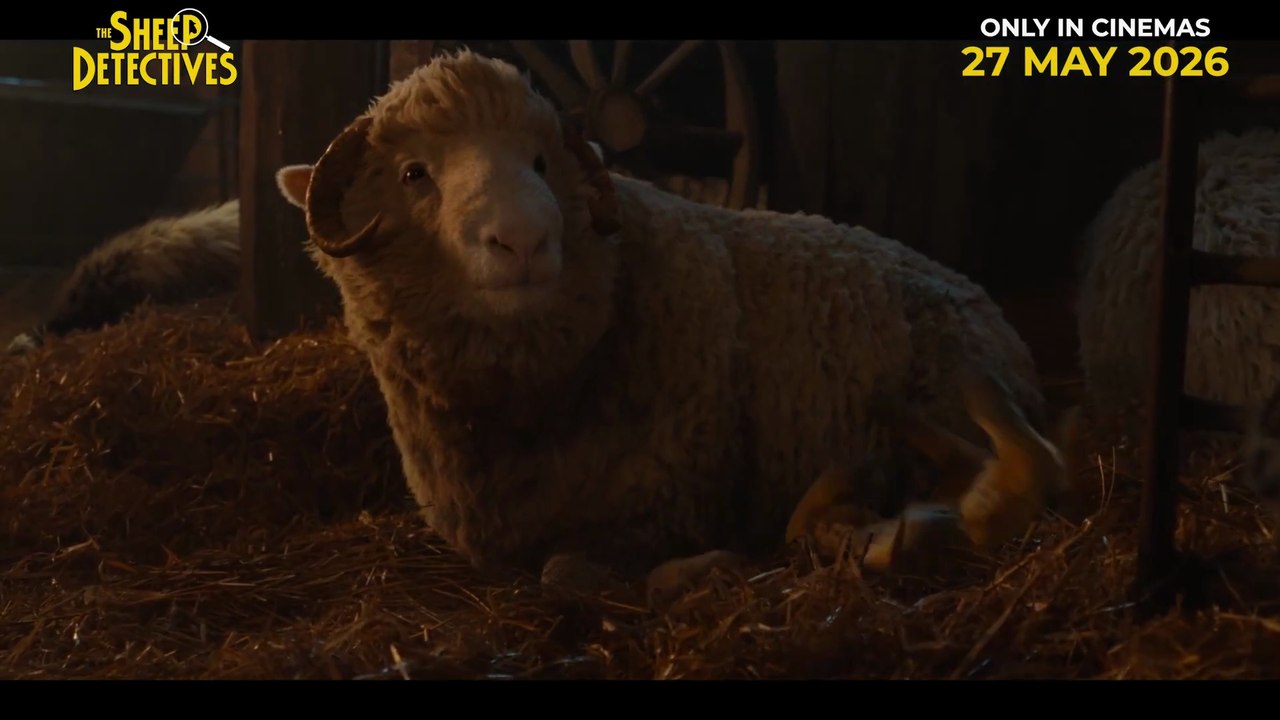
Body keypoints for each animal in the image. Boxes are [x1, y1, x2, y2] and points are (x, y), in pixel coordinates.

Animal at [272, 50, 1048, 592]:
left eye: (541, 162)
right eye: (413, 174)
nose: (524, 239)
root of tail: (982, 299)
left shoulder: (659, 513)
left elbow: (569, 574)